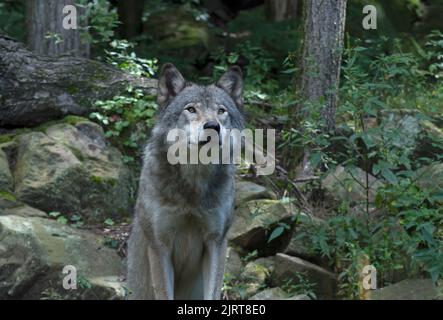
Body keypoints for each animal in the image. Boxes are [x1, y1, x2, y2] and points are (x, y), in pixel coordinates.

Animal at [128, 63, 245, 300]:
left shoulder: (216, 243)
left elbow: (213, 293)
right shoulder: (160, 246)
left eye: (221, 111)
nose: (213, 126)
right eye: (191, 109)